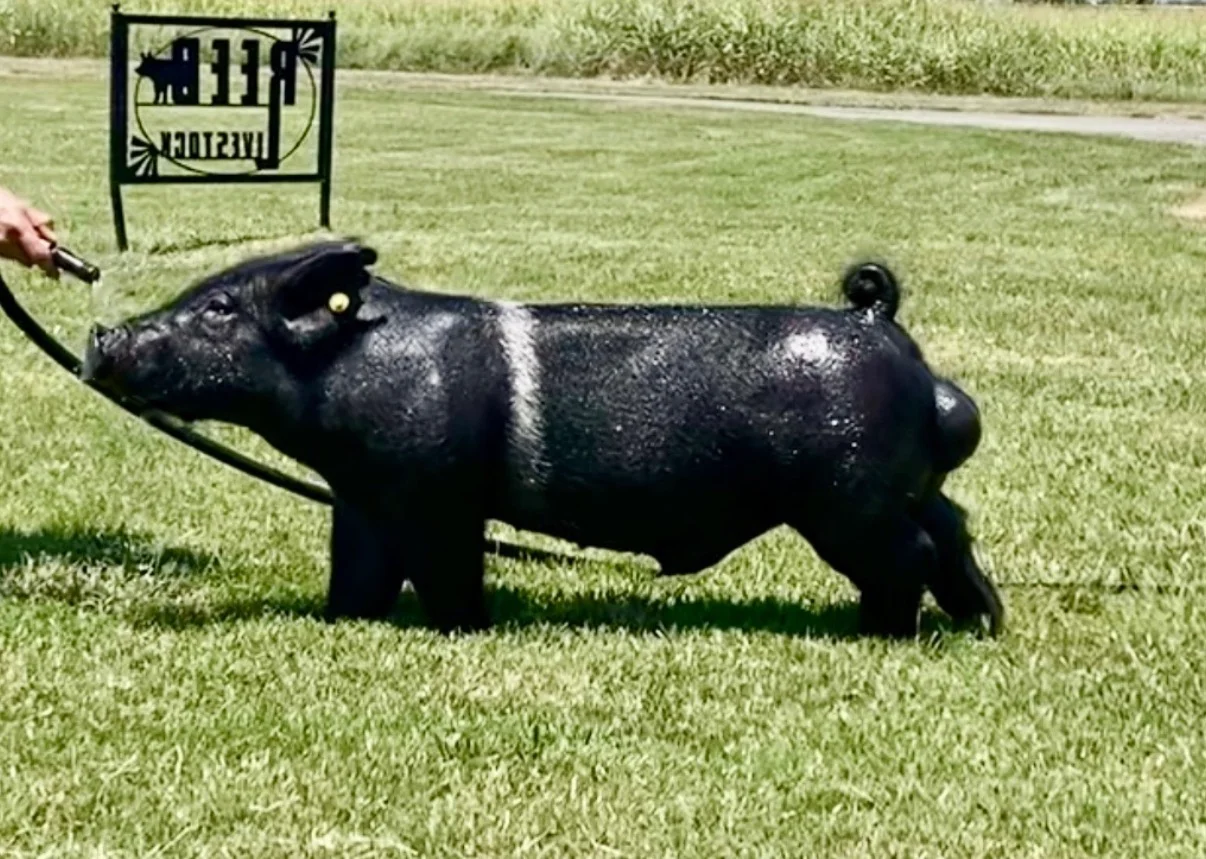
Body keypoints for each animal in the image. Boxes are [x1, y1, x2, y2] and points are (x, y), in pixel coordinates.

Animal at [82, 241, 1003, 638]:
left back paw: (879, 633)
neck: (356, 363)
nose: (102, 335)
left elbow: (448, 572)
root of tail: (884, 329)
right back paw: (984, 621)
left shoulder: (439, 495)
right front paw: (340, 623)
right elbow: (358, 575)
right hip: (899, 488)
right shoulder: (364, 497)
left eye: (218, 310)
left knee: (912, 554)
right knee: (955, 531)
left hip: (848, 498)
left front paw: (463, 631)